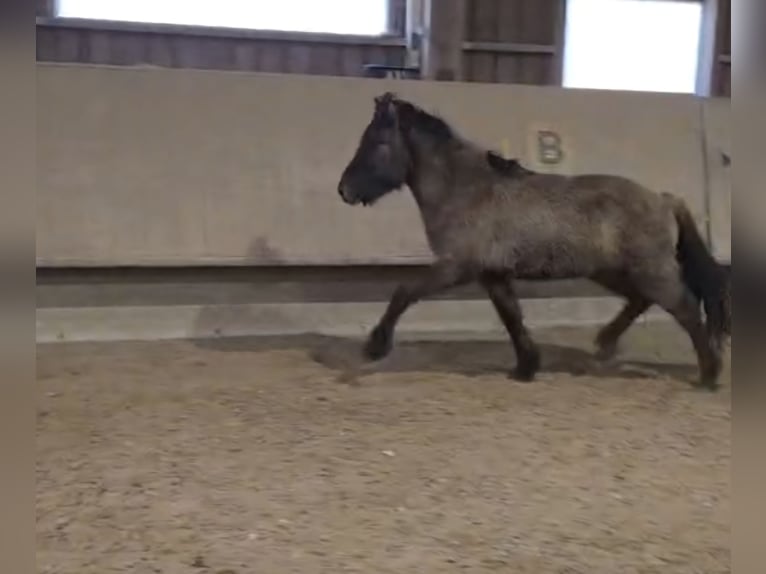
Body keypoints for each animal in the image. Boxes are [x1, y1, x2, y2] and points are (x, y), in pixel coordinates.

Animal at [336, 92, 729, 390]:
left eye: (378, 142)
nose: (345, 190)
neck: (466, 190)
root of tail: (663, 199)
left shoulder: (456, 266)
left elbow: (404, 291)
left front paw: (375, 347)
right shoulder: (492, 274)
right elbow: (511, 316)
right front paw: (525, 367)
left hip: (650, 271)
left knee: (686, 308)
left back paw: (708, 376)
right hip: (612, 272)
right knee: (640, 300)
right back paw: (604, 346)